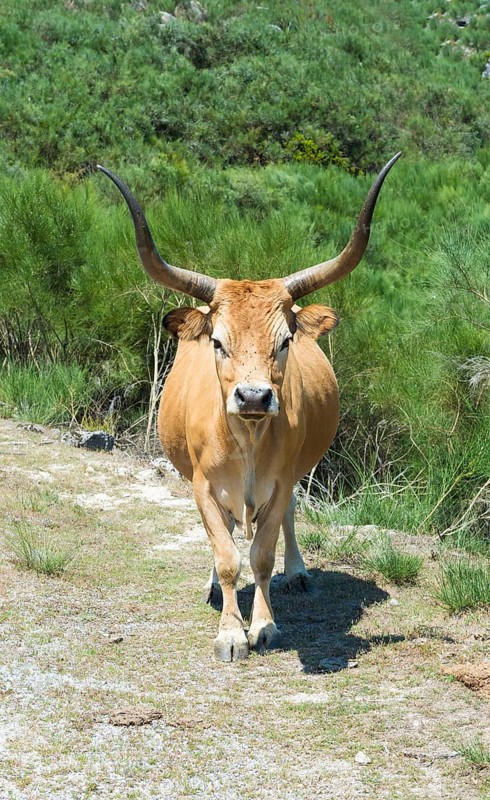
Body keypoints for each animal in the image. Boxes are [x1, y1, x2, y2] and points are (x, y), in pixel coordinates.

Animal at [98, 153, 400, 661]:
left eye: (285, 341)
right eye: (218, 342)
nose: (255, 397)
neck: (247, 442)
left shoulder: (279, 483)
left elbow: (261, 553)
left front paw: (263, 625)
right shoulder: (202, 485)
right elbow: (226, 555)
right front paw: (229, 631)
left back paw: (297, 573)